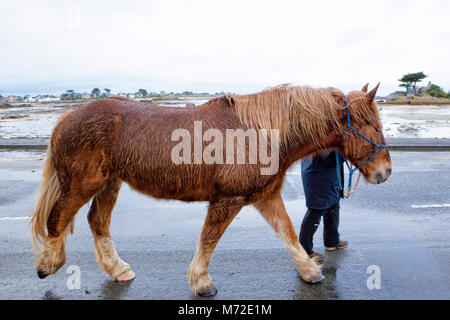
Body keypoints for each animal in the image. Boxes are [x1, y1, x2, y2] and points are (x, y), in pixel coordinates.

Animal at [29, 84, 392, 296]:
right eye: (374, 126)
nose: (385, 172)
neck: (260, 133)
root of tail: (67, 118)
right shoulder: (227, 200)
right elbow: (209, 239)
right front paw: (202, 283)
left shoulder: (265, 197)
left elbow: (288, 234)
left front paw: (309, 272)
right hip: (84, 184)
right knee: (58, 218)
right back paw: (49, 263)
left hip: (109, 183)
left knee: (97, 221)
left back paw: (118, 270)